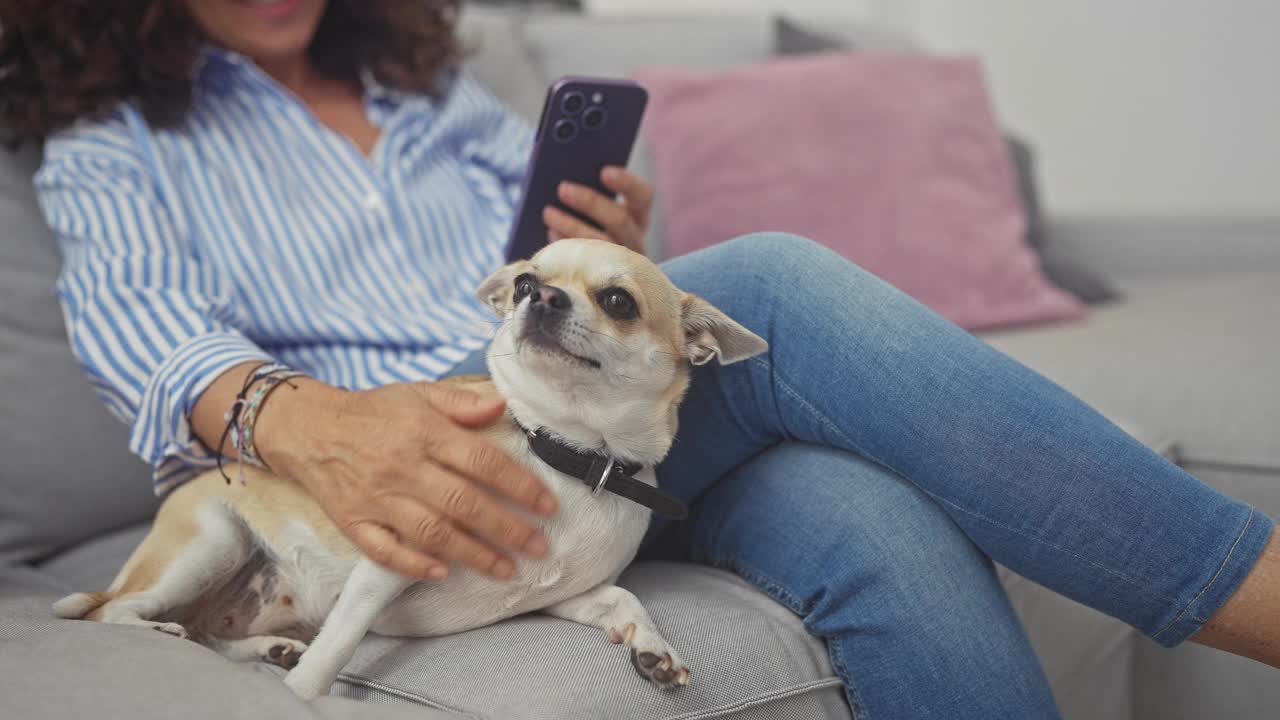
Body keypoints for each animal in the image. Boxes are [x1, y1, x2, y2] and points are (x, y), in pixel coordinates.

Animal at [52, 238, 768, 696]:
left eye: (618, 301)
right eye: (524, 283)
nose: (540, 297)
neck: (565, 454)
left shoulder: (566, 596)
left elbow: (623, 597)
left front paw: (653, 648)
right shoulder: (390, 560)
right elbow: (341, 641)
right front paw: (300, 695)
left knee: (210, 634)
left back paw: (265, 648)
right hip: (212, 543)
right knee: (112, 614)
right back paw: (165, 631)